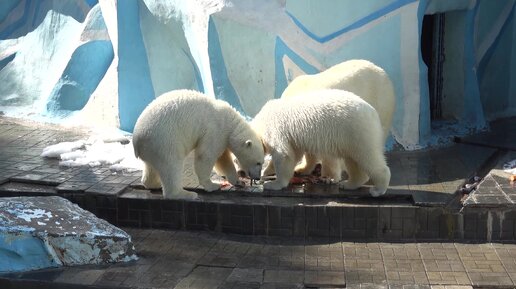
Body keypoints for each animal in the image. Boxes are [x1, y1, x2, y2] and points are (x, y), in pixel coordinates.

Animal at [133, 89, 264, 199]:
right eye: (258, 162)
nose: (258, 177)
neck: (230, 121)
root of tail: (137, 140)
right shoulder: (215, 129)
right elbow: (206, 156)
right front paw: (212, 185)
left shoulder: (223, 137)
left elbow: (223, 160)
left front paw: (238, 181)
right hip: (164, 140)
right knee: (171, 165)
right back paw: (186, 194)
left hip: (151, 148)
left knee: (151, 167)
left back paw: (154, 184)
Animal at [254, 88, 392, 196]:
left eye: (257, 162)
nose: (255, 177)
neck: (261, 120)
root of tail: (373, 113)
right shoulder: (292, 137)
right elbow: (295, 153)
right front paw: (296, 169)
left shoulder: (275, 128)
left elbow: (283, 154)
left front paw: (273, 183)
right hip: (351, 137)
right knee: (353, 159)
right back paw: (348, 184)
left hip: (357, 130)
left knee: (367, 156)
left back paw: (378, 189)